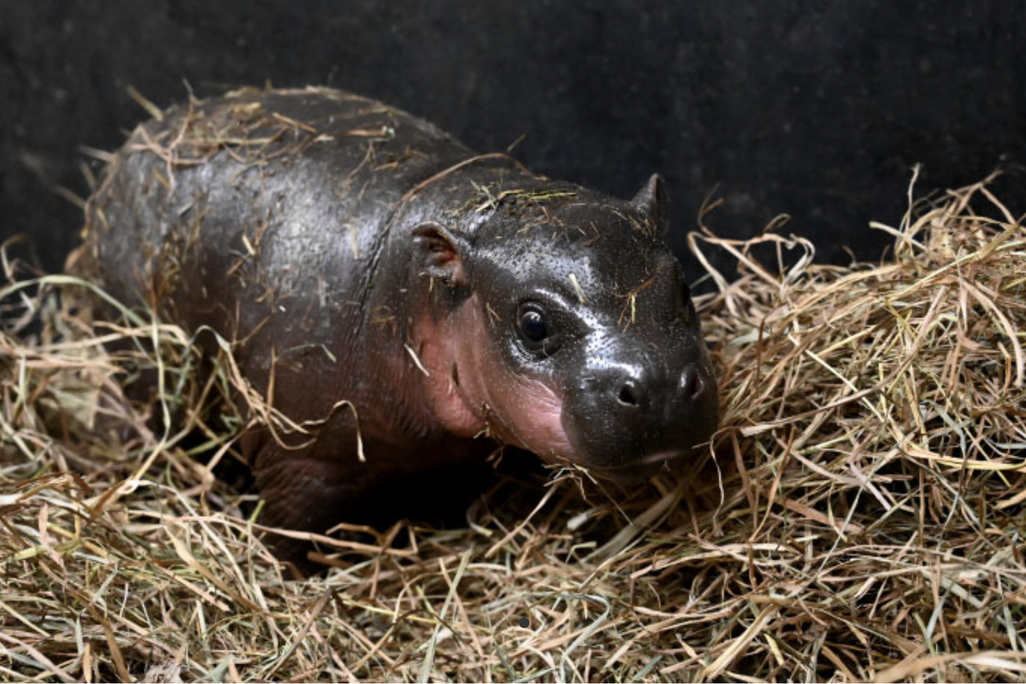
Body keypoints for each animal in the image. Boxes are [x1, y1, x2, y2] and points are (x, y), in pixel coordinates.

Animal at [80, 86, 718, 555]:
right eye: (534, 323)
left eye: (684, 287)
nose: (662, 384)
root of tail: (140, 140)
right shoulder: (300, 458)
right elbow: (288, 535)